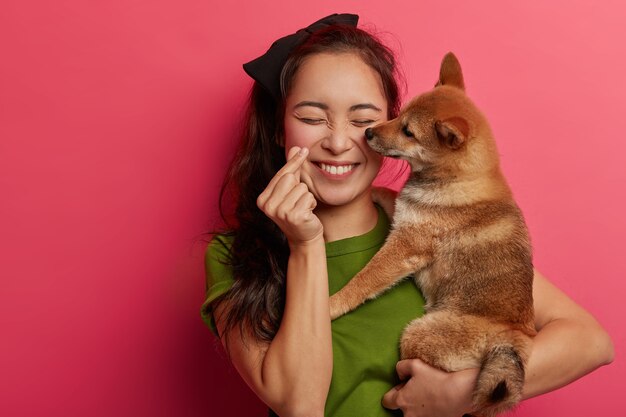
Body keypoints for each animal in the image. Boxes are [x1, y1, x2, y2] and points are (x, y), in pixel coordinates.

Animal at [330, 52, 532, 416]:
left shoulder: (404, 247)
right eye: (400, 115)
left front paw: (334, 304)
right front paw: (377, 193)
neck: (458, 180)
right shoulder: (406, 215)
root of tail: (512, 339)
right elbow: (393, 196)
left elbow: (363, 281)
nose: (368, 132)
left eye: (408, 131)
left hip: (416, 334)